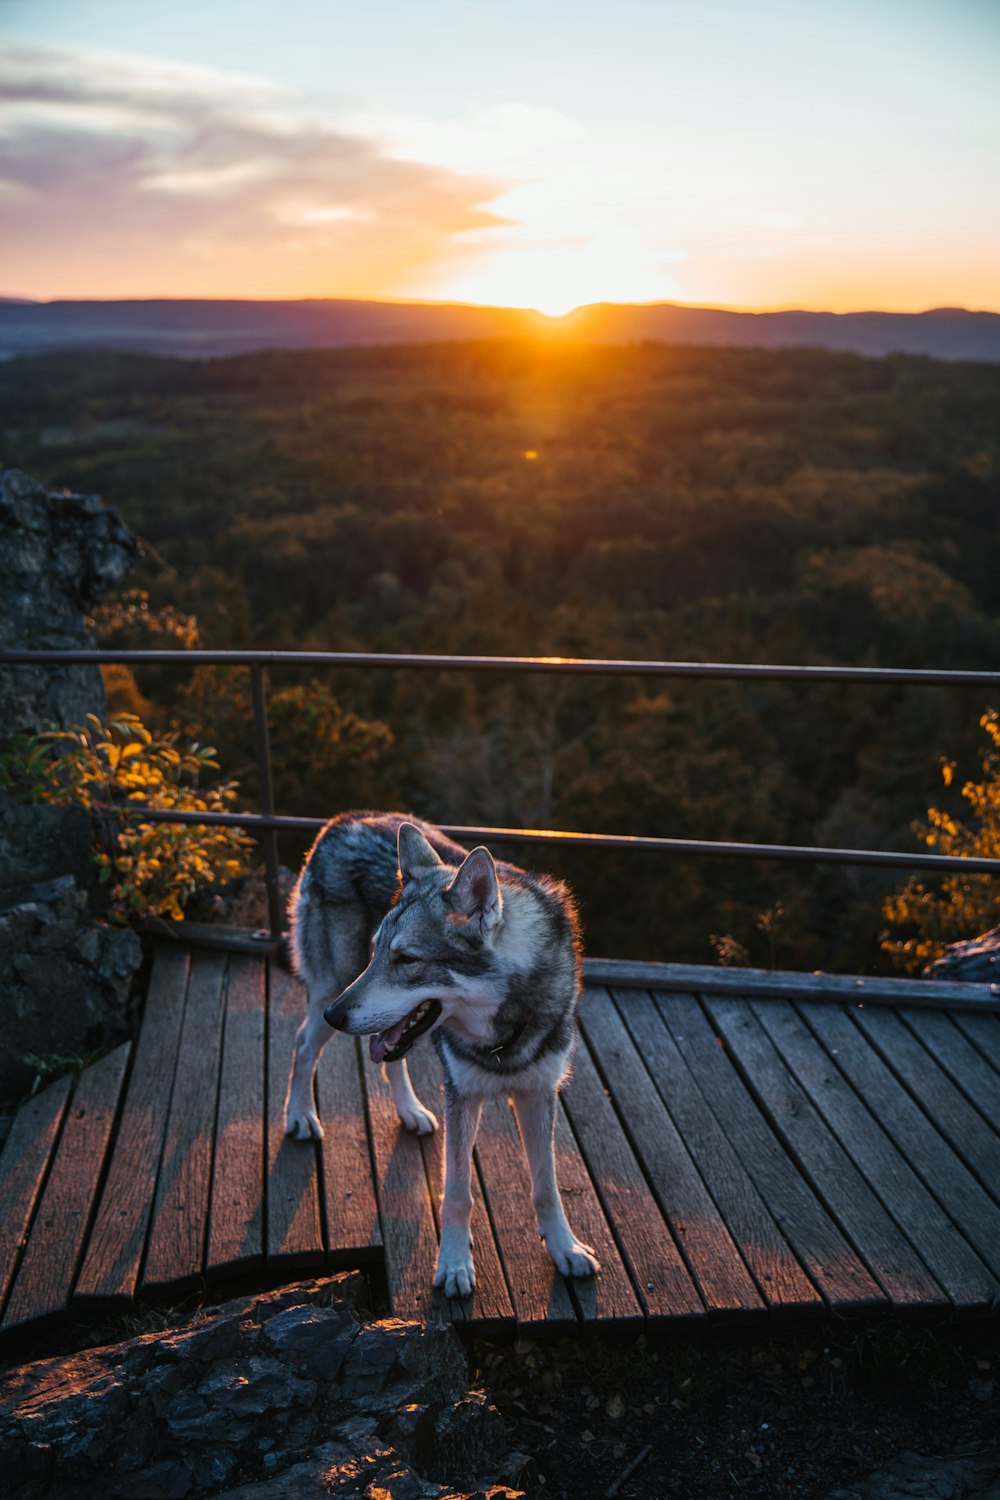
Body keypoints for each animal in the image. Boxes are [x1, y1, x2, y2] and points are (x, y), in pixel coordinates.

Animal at [284, 816, 599, 1296]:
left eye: (406, 959)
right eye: (378, 951)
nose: (335, 1015)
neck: (505, 1033)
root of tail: (341, 821)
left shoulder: (538, 1093)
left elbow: (546, 1187)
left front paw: (565, 1249)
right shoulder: (462, 1097)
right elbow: (456, 1195)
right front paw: (453, 1265)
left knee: (388, 1059)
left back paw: (411, 1111)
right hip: (333, 985)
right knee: (303, 1045)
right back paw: (300, 1116)